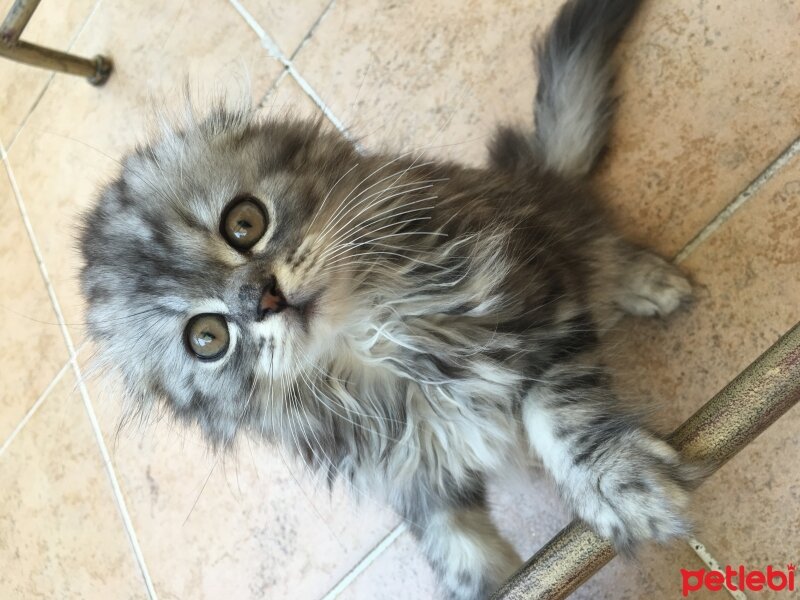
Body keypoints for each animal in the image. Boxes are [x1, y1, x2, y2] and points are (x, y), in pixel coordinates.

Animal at [76, 1, 700, 600]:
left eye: (243, 223)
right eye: (208, 338)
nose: (263, 298)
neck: (373, 339)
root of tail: (531, 178)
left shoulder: (538, 304)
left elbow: (565, 417)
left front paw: (620, 485)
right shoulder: (409, 473)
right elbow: (456, 549)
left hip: (551, 226)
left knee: (600, 243)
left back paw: (646, 282)